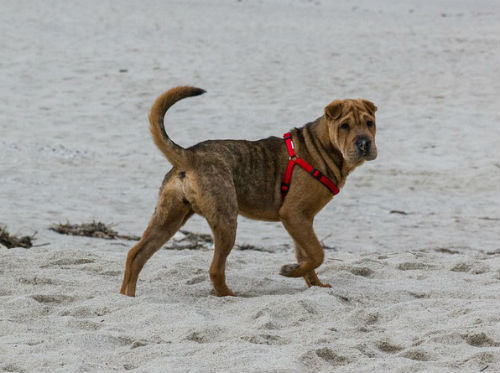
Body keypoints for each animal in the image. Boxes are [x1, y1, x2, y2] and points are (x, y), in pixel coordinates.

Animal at [120, 85, 378, 296]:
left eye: (369, 123)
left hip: (169, 218)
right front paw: (291, 271)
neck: (321, 147)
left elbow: (306, 255)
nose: (364, 143)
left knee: (136, 254)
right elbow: (317, 253)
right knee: (215, 269)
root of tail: (189, 156)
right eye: (344, 126)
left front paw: (313, 283)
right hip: (225, 220)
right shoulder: (294, 214)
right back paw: (230, 296)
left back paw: (127, 297)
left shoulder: (302, 220)